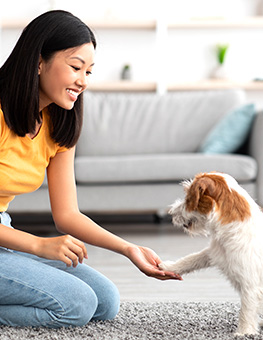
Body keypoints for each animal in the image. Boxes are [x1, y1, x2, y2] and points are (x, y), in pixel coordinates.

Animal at [160, 171, 263, 336]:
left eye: (188, 198)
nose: (170, 213)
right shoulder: (214, 252)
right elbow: (191, 259)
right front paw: (168, 267)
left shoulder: (250, 284)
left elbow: (246, 310)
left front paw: (243, 333)